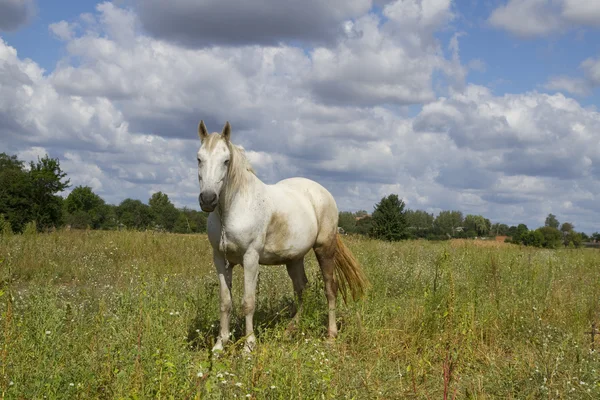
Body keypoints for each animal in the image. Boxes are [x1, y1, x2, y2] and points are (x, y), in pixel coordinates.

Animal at [197, 120, 368, 352]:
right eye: (199, 158)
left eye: (226, 161)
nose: (207, 199)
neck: (233, 208)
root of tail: (323, 193)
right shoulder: (220, 260)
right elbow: (225, 302)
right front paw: (219, 346)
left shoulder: (250, 258)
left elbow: (248, 302)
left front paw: (248, 346)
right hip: (294, 259)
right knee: (302, 289)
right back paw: (289, 331)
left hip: (324, 249)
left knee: (330, 288)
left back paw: (331, 336)